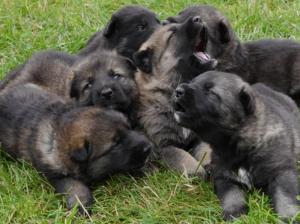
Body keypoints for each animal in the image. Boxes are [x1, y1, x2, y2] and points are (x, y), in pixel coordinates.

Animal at [0, 83, 151, 214]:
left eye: (129, 127)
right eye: (116, 143)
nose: (148, 147)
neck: (59, 131)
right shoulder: (57, 174)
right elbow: (76, 187)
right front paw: (81, 205)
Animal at [132, 15, 217, 178]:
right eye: (172, 35)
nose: (198, 18)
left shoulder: (200, 136)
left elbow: (205, 150)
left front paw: (208, 164)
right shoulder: (165, 145)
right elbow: (183, 158)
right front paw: (198, 172)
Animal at [172, 71, 300, 221]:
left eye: (210, 92)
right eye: (192, 82)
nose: (178, 90)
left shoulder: (281, 171)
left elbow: (285, 196)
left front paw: (289, 217)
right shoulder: (224, 175)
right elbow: (231, 195)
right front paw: (234, 213)